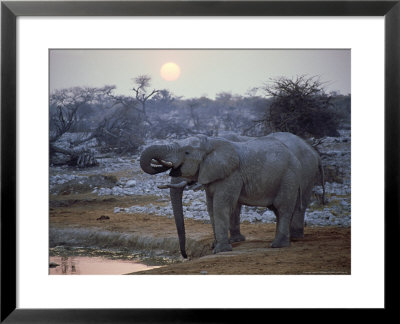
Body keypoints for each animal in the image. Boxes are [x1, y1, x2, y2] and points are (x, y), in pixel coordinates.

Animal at [141, 133, 324, 256]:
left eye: (186, 153)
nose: (185, 255)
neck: (211, 143)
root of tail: (314, 151)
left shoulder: (232, 174)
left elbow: (222, 206)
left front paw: (221, 250)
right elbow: (211, 208)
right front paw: (217, 246)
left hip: (292, 175)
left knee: (285, 207)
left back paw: (281, 244)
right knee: (280, 209)